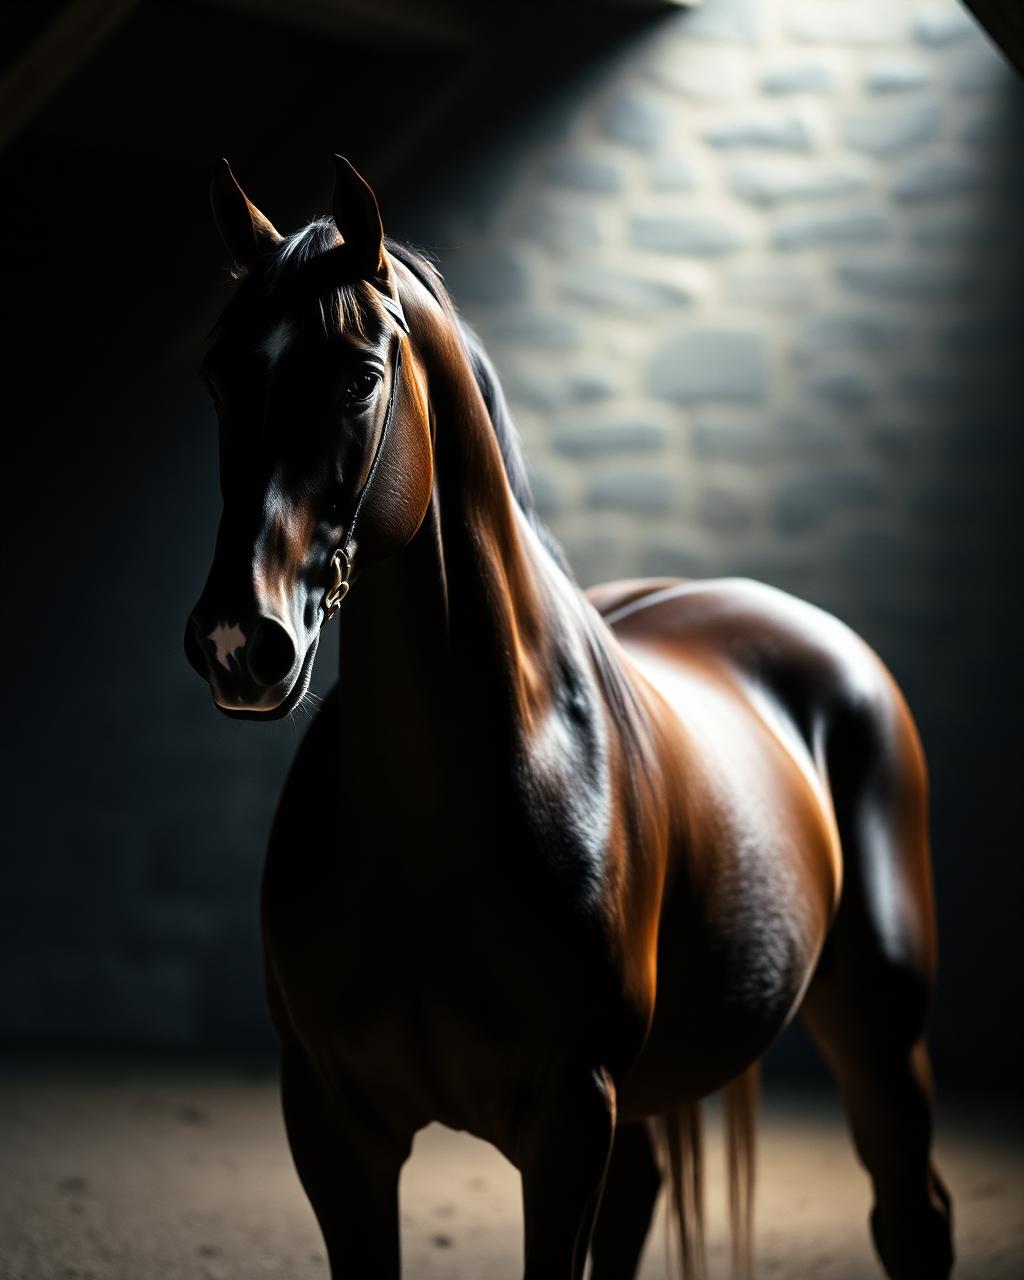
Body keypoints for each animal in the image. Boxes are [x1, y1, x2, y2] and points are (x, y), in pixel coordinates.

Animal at [184, 155, 954, 1280]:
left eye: (361, 377)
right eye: (218, 375)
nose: (242, 639)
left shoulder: (565, 1123)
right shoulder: (333, 1128)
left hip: (879, 1035)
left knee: (910, 1214)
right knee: (643, 1195)